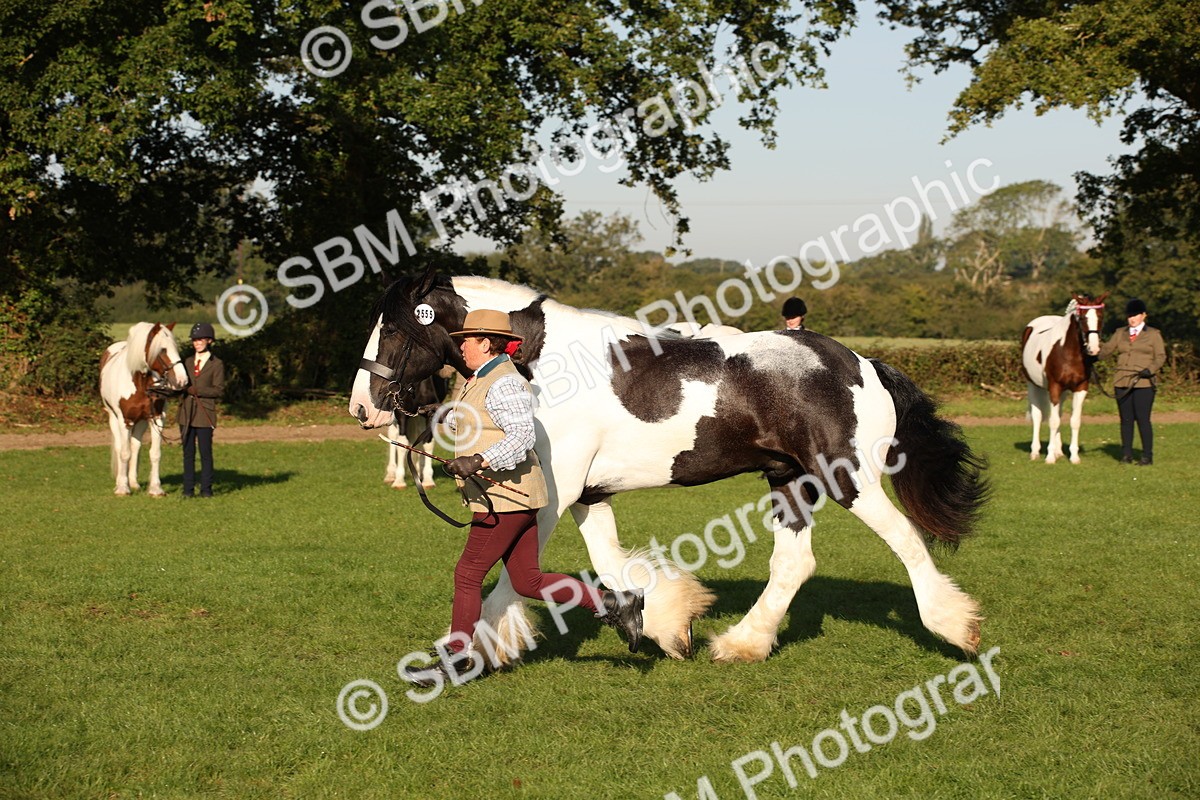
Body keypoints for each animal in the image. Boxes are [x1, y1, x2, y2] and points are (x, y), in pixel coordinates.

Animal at [99, 322, 189, 496]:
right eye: (162, 349)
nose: (182, 381)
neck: (139, 383)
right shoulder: (125, 420)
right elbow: (124, 453)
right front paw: (123, 488)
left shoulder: (157, 418)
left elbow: (155, 453)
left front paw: (155, 489)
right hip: (114, 419)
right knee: (121, 447)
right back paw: (121, 483)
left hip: (141, 421)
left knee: (136, 447)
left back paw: (133, 483)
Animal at [348, 270, 989, 665]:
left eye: (394, 327)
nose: (361, 407)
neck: (544, 362)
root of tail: (864, 363)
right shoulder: (587, 494)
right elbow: (608, 563)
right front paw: (665, 623)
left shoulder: (552, 494)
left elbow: (509, 576)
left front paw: (480, 648)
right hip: (790, 481)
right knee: (794, 565)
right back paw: (742, 643)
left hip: (847, 477)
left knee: (906, 540)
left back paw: (956, 627)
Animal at [1021, 293, 1108, 464]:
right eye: (1083, 318)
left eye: (1101, 317)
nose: (1093, 349)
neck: (1067, 352)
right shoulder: (1054, 387)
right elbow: (1053, 421)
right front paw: (1049, 457)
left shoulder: (1080, 388)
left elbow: (1074, 421)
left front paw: (1073, 456)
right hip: (1033, 385)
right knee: (1037, 416)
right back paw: (1035, 452)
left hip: (1063, 392)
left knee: (1059, 414)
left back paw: (1058, 451)